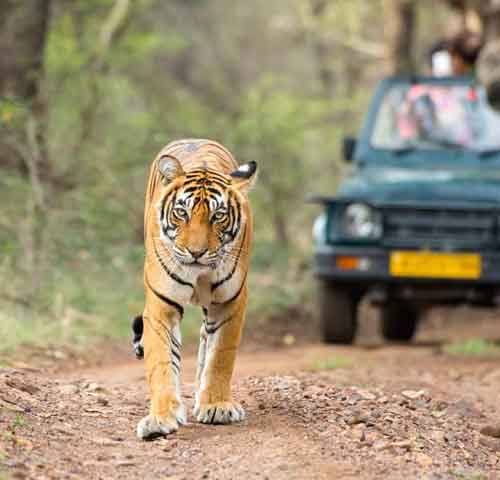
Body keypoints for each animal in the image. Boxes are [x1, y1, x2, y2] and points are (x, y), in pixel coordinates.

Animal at [135, 139, 258, 438]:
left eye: (218, 216)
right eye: (182, 212)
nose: (196, 253)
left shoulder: (229, 302)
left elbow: (221, 356)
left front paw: (216, 406)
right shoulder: (161, 305)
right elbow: (162, 362)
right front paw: (161, 418)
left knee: (206, 339)